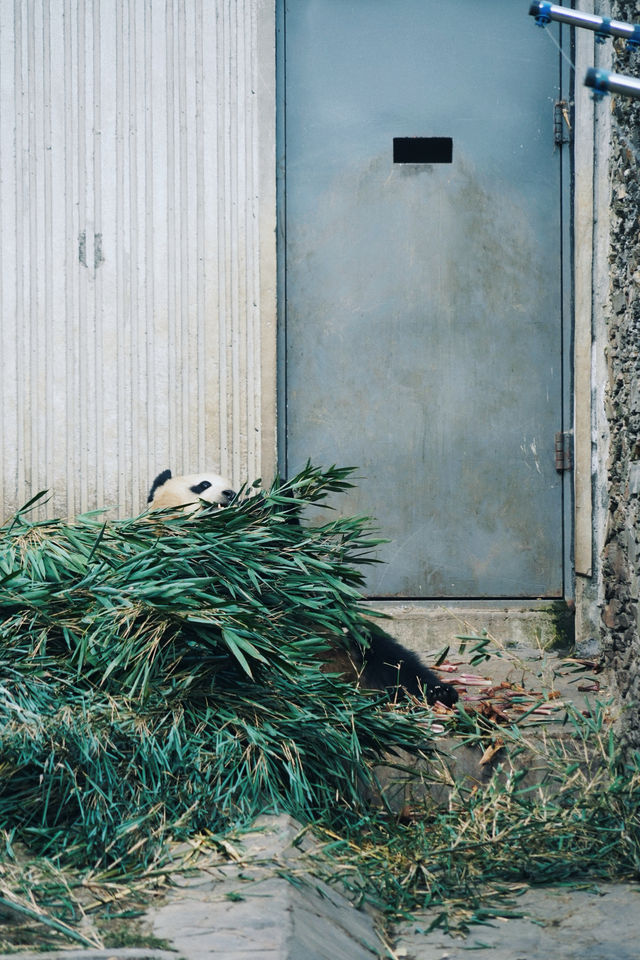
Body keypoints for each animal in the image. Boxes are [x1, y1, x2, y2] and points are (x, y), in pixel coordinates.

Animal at [145, 468, 458, 708]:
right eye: (203, 484)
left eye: (232, 485)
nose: (231, 494)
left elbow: (292, 556)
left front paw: (279, 493)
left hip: (357, 642)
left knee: (396, 662)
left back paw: (440, 692)